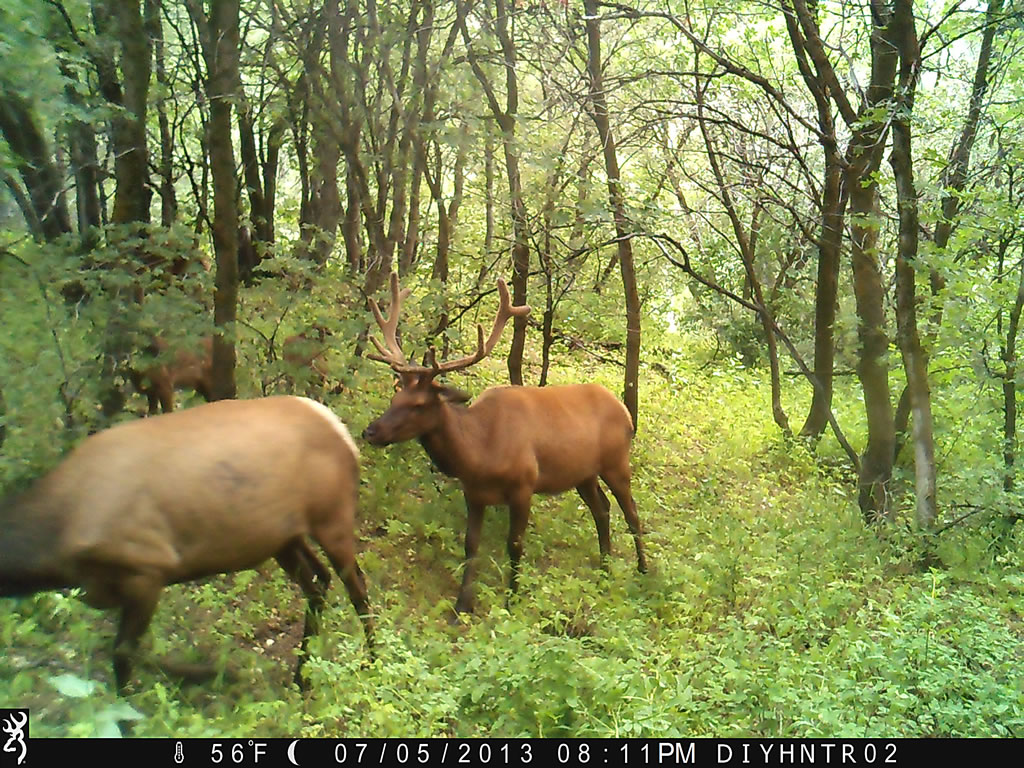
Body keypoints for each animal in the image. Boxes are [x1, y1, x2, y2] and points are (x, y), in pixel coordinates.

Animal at [0, 395, 374, 694]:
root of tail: (343, 432)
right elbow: (124, 653)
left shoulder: (147, 568)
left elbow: (123, 653)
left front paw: (217, 674)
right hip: (283, 537)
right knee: (318, 582)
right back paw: (301, 678)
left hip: (331, 516)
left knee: (356, 585)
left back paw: (371, 662)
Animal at [361, 273, 647, 617]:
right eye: (395, 397)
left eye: (418, 405)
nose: (370, 432)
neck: (478, 453)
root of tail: (625, 412)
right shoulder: (473, 493)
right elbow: (470, 545)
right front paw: (462, 606)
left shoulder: (524, 485)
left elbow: (514, 544)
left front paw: (512, 599)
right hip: (583, 473)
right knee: (601, 510)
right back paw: (604, 569)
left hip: (616, 462)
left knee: (632, 513)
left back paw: (643, 570)